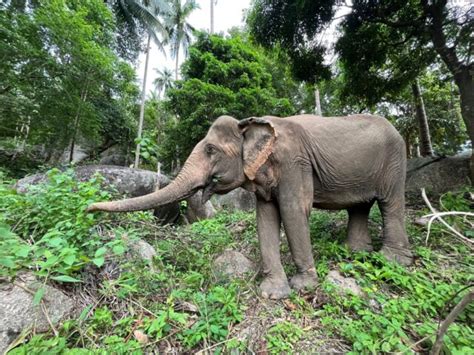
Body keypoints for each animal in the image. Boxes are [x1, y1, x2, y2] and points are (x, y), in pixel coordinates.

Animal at [87, 114, 412, 300]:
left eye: (210, 149)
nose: (89, 208)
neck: (253, 122)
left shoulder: (294, 162)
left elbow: (294, 210)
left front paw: (304, 287)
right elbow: (265, 216)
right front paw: (272, 294)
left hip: (395, 160)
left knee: (390, 203)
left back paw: (393, 261)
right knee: (361, 205)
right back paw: (357, 253)